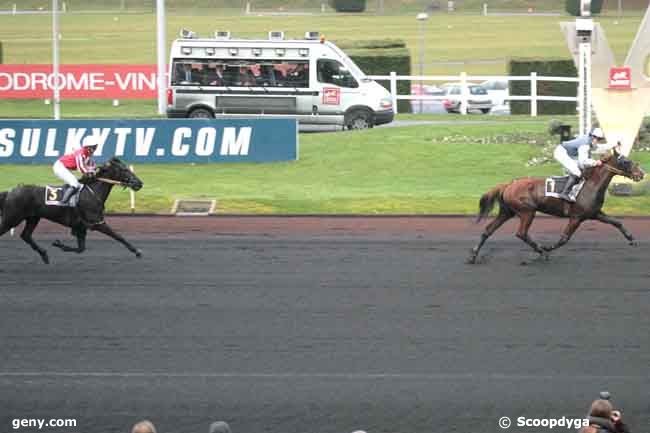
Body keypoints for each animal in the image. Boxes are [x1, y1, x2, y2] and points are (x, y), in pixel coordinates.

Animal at [466, 151, 644, 264]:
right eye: (625, 161)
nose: (641, 174)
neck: (591, 185)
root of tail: (509, 184)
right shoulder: (576, 217)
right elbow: (564, 238)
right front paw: (547, 247)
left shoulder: (594, 213)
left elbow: (617, 222)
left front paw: (632, 239)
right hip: (527, 212)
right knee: (521, 233)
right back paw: (542, 251)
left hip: (507, 212)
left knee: (488, 230)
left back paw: (473, 256)